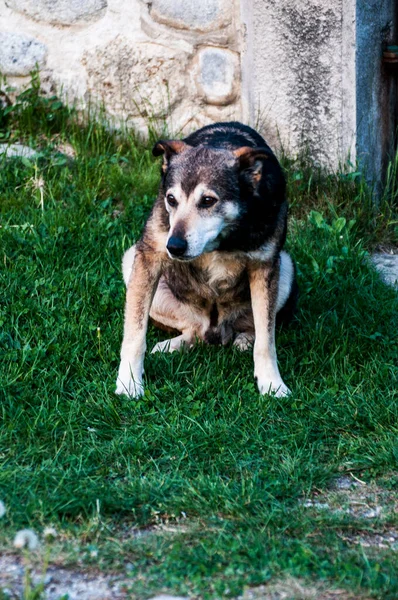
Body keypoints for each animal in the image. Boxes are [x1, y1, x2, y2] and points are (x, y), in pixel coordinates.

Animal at [113, 121, 296, 398]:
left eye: (208, 200)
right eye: (171, 199)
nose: (174, 246)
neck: (221, 241)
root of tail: (215, 331)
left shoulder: (265, 266)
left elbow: (266, 339)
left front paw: (272, 383)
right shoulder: (148, 256)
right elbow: (135, 334)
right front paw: (129, 382)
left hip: (286, 267)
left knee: (249, 325)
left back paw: (243, 339)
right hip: (130, 262)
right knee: (193, 330)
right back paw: (171, 345)